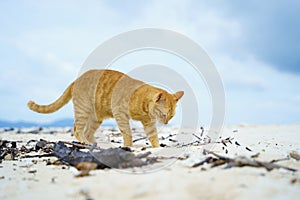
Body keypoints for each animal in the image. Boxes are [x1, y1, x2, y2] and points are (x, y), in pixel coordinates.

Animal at [27, 69, 183, 148]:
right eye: (164, 114)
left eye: (172, 116)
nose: (166, 123)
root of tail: (76, 80)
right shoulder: (120, 115)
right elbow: (127, 133)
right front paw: (128, 146)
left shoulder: (149, 123)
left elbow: (153, 136)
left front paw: (157, 148)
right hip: (82, 111)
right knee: (77, 130)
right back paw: (85, 142)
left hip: (95, 119)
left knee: (87, 132)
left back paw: (96, 144)